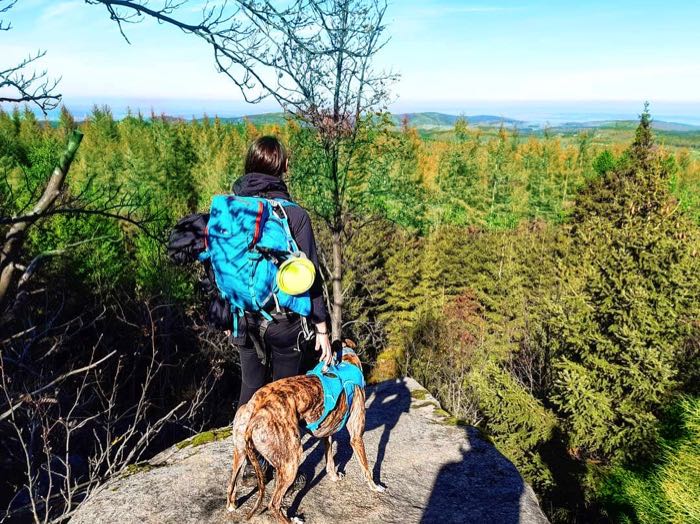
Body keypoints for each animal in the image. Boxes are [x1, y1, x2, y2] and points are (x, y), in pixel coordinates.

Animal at [227, 340, 386, 524]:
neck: (345, 361)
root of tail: (256, 409)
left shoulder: (326, 434)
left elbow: (330, 461)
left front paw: (334, 476)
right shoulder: (356, 437)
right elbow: (367, 468)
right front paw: (375, 486)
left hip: (240, 451)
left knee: (231, 483)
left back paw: (231, 504)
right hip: (291, 459)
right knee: (273, 503)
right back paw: (291, 519)